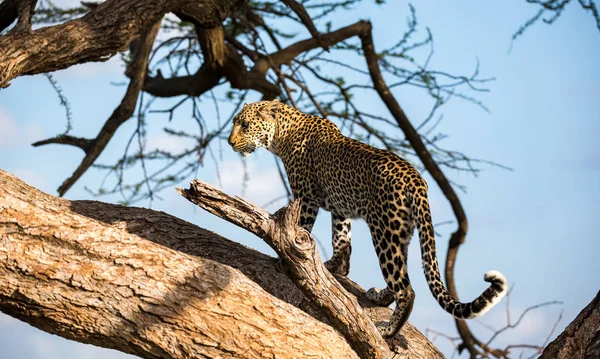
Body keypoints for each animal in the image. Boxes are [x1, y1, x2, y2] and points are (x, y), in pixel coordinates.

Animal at [227, 98, 508, 338]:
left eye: (245, 125)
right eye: (236, 123)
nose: (230, 142)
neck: (282, 135)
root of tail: (417, 180)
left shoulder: (306, 197)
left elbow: (301, 228)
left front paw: (286, 257)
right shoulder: (340, 208)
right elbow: (342, 239)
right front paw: (335, 267)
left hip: (384, 231)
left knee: (406, 288)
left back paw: (389, 330)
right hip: (401, 231)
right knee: (399, 277)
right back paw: (380, 296)